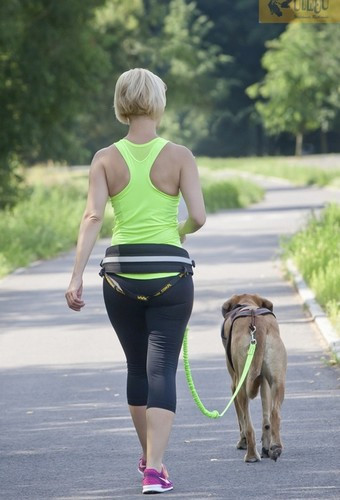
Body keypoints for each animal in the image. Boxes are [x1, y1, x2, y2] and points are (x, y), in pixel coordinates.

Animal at [220, 292, 286, 460]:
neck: (247, 303)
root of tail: (257, 324)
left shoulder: (234, 385)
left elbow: (240, 421)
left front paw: (242, 442)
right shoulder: (264, 382)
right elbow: (266, 416)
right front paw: (267, 447)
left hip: (242, 386)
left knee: (248, 424)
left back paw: (251, 455)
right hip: (277, 381)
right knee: (273, 414)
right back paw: (275, 447)